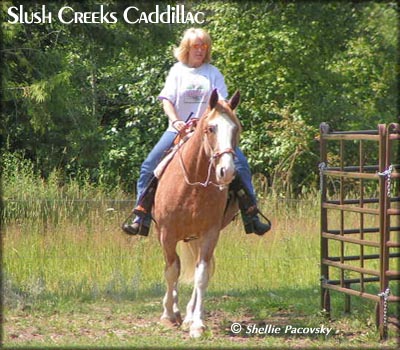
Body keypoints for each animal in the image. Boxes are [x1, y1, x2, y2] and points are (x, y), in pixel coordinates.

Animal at [153, 89, 241, 338]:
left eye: (236, 128)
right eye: (210, 128)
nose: (226, 171)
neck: (192, 185)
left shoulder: (210, 234)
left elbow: (201, 275)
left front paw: (197, 324)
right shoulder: (166, 234)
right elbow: (171, 271)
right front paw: (168, 315)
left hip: (197, 239)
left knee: (202, 269)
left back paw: (189, 316)